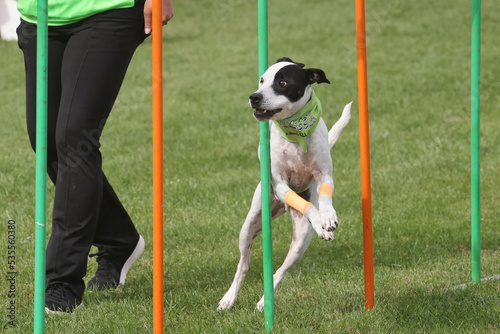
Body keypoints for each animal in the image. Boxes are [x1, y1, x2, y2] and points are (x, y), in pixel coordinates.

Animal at [218, 57, 352, 310]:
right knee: (243, 265)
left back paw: (264, 302)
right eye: (262, 80)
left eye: (282, 82)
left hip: (300, 242)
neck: (296, 134)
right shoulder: (280, 184)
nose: (254, 96)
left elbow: (325, 197)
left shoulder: (324, 176)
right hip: (250, 224)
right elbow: (309, 208)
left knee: (280, 271)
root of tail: (285, 208)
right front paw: (320, 221)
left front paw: (328, 218)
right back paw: (229, 298)